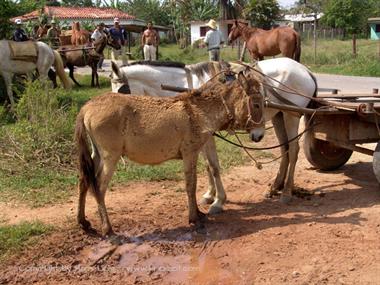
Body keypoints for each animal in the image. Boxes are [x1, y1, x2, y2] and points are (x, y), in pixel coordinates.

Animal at [74, 69, 264, 235]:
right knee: (99, 187)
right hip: (110, 156)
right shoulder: (190, 153)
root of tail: (86, 107)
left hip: (97, 155)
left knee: (84, 181)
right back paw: (107, 228)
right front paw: (194, 217)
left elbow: (204, 174)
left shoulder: (197, 150)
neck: (199, 110)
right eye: (256, 104)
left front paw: (200, 212)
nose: (260, 135)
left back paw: (83, 222)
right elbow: (191, 184)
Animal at [110, 58, 318, 206]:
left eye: (121, 90)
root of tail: (306, 70)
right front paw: (210, 195)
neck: (189, 85)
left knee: (293, 150)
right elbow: (208, 165)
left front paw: (219, 200)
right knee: (284, 149)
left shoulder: (207, 134)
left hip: (291, 115)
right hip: (279, 116)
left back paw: (287, 192)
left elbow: (214, 165)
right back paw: (275, 187)